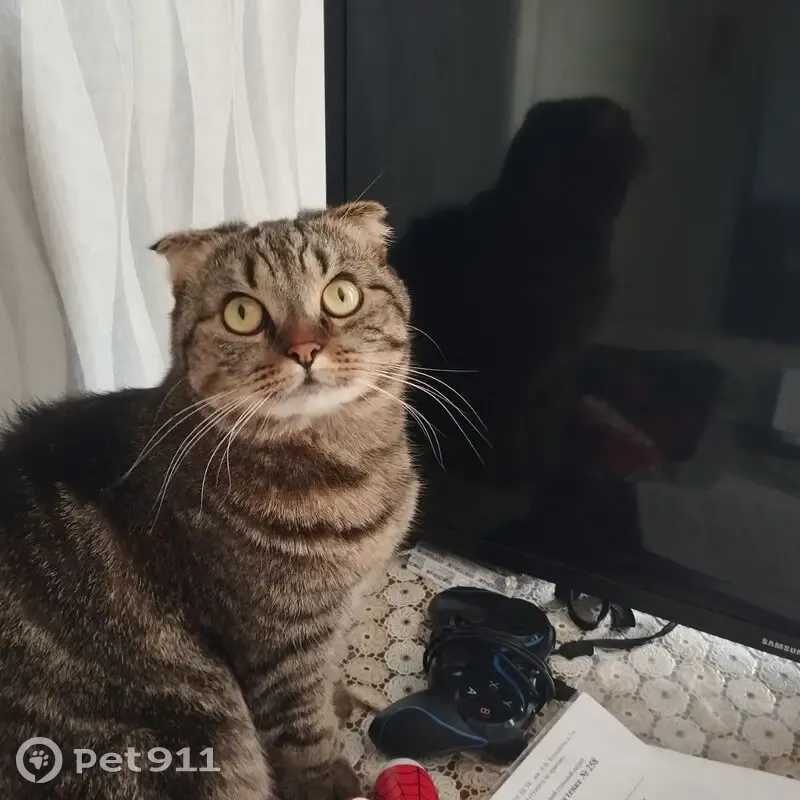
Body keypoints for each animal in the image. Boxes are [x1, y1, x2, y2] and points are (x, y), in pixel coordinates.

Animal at [0, 201, 418, 800]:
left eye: (341, 295)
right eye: (242, 313)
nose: (305, 349)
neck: (349, 466)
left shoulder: (334, 614)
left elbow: (328, 672)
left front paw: (339, 698)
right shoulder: (279, 647)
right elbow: (303, 733)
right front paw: (332, 778)